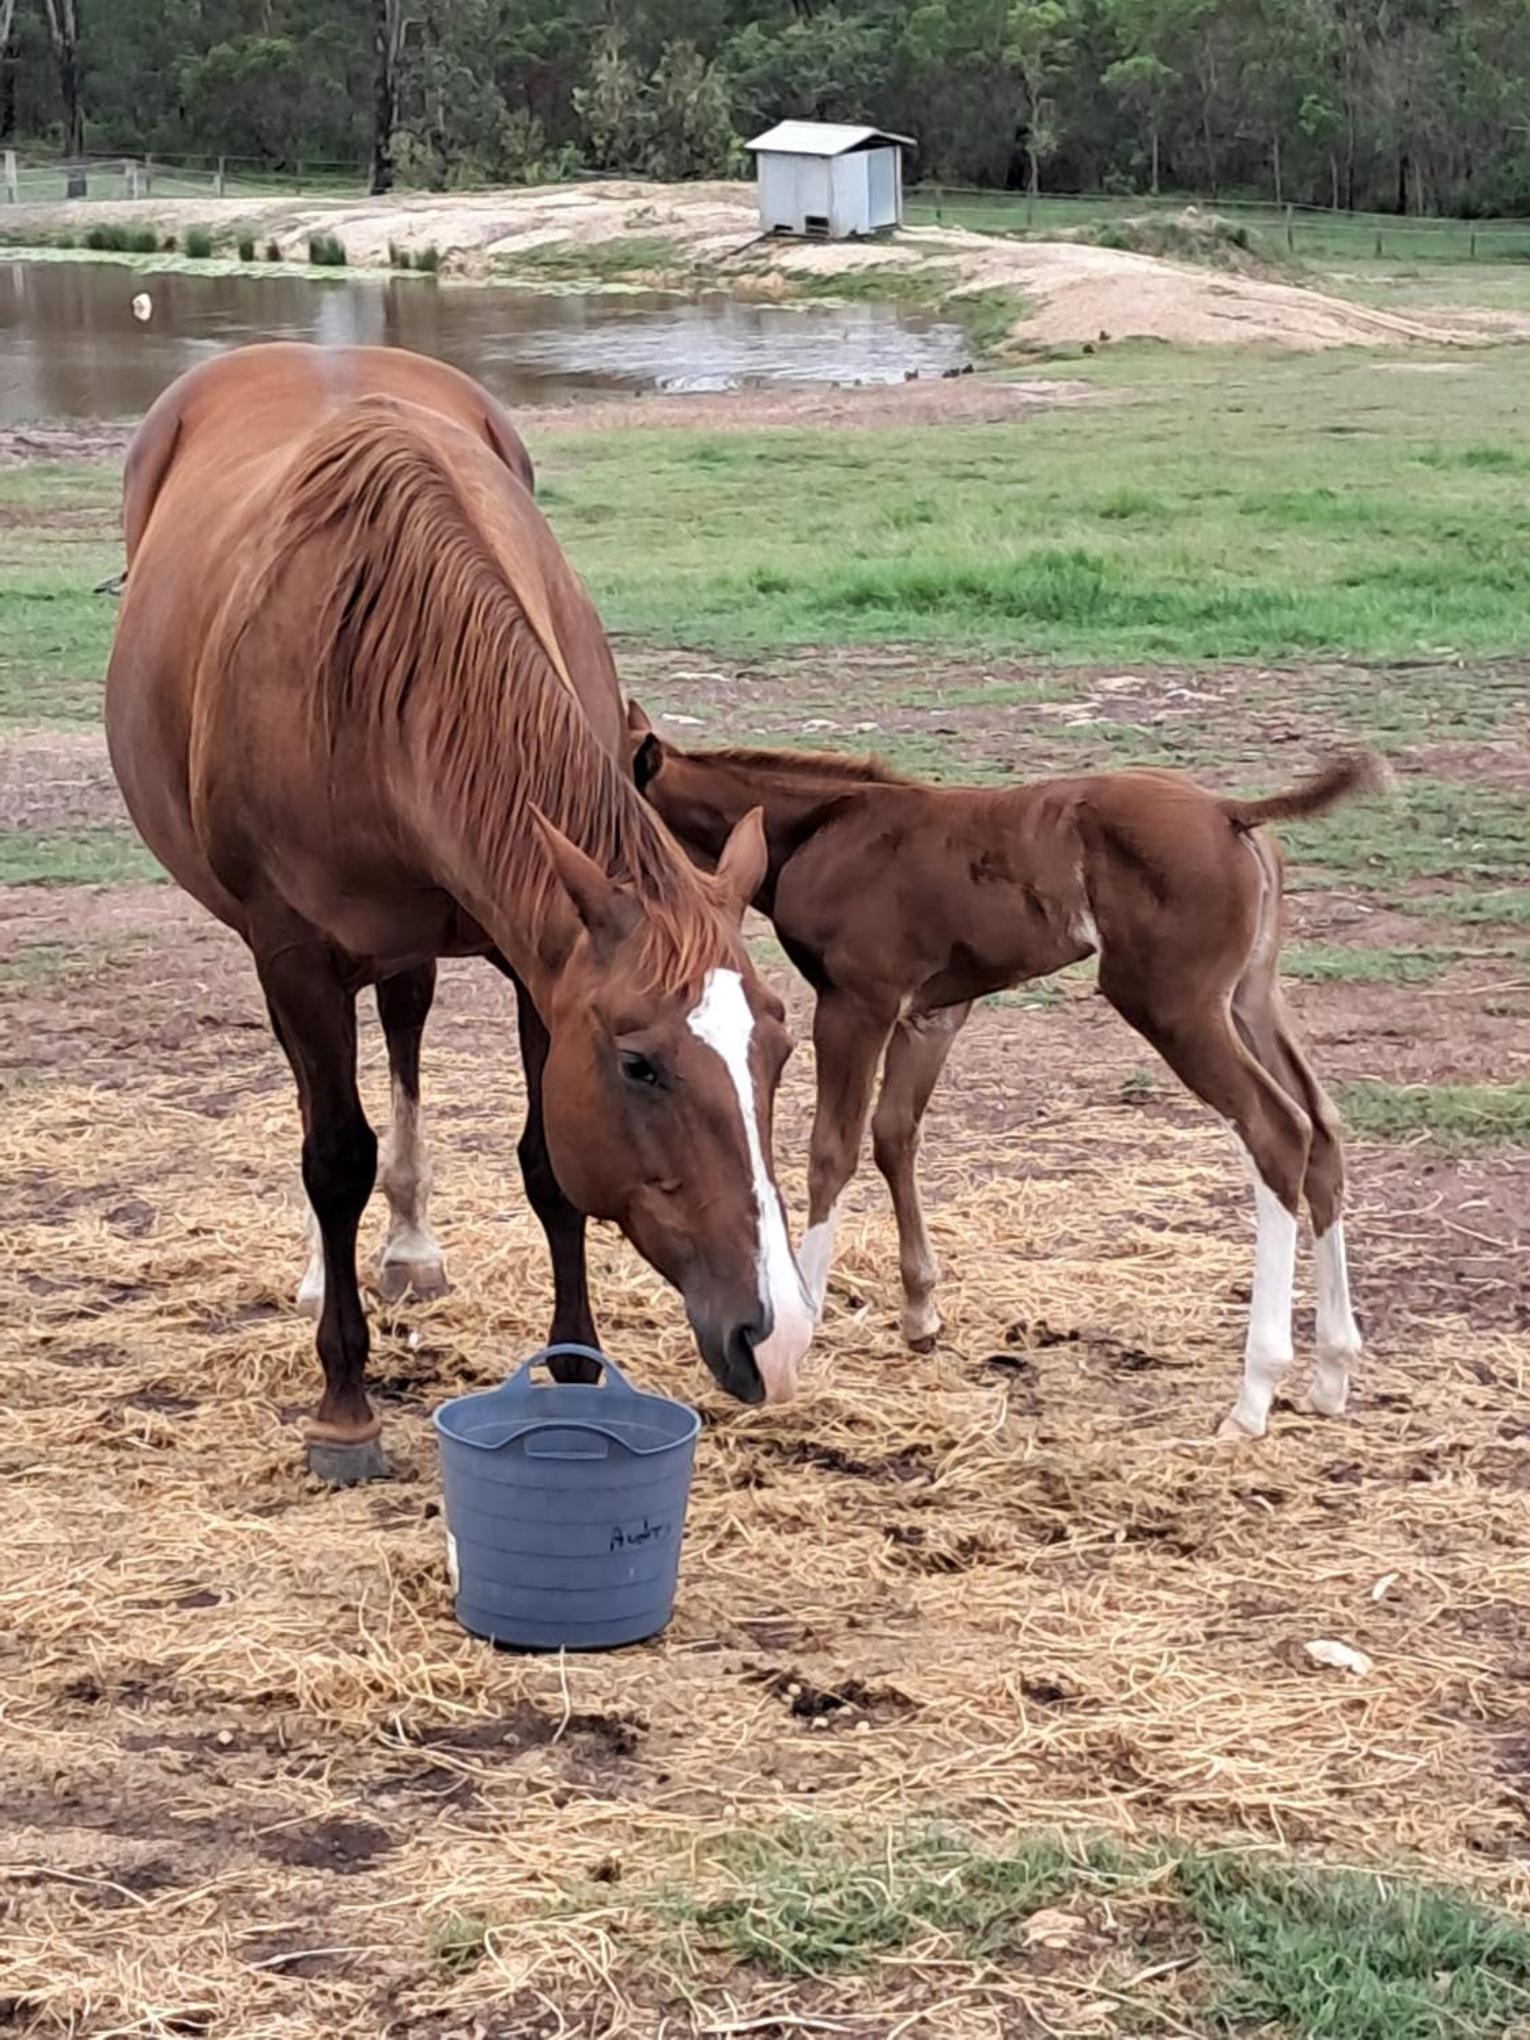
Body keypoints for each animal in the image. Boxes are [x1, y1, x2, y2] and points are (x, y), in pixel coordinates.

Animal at [104, 342, 814, 1484]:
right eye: (639, 1066)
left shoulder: (539, 961)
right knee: (321, 1110)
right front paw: (343, 1409)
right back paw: (330, 1271)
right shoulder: (292, 954)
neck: (370, 669)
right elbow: (332, 1157)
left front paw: (575, 1368)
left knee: (401, 1025)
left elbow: (548, 1165)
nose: (778, 1336)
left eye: (780, 1053)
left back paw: (408, 1245)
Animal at [626, 701, 1388, 1442]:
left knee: (1277, 1131)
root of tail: (1232, 811)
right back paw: (1330, 1374)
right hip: (1250, 996)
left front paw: (805, 1320)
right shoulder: (933, 1015)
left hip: (1176, 1006)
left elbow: (830, 1152)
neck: (822, 828)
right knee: (1322, 1127)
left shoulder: (856, 1004)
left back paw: (1254, 1395)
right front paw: (920, 1312)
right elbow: (894, 1135)